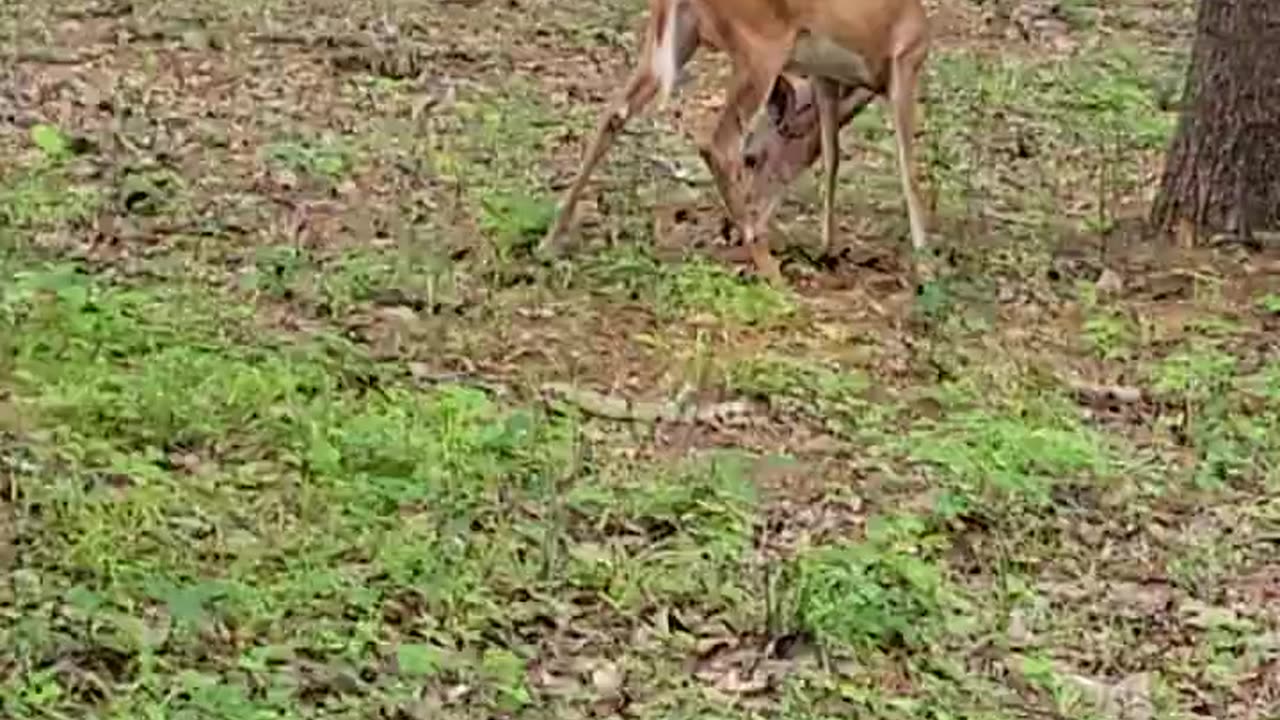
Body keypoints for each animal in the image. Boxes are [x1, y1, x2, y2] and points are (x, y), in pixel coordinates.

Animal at [535, 0, 936, 281]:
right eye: (752, 159)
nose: (727, 231)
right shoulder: (906, 59)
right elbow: (908, 169)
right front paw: (925, 265)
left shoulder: (826, 76)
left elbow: (832, 155)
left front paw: (829, 249)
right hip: (760, 48)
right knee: (717, 143)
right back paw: (769, 269)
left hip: (679, 36)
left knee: (613, 113)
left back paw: (550, 241)